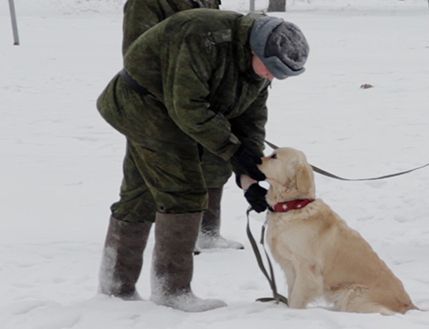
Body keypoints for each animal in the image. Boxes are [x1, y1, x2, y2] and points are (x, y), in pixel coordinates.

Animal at [258, 146, 414, 312]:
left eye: (274, 156)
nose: (256, 159)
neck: (293, 206)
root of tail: (410, 305)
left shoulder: (307, 269)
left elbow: (296, 299)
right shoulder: (290, 267)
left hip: (352, 293)